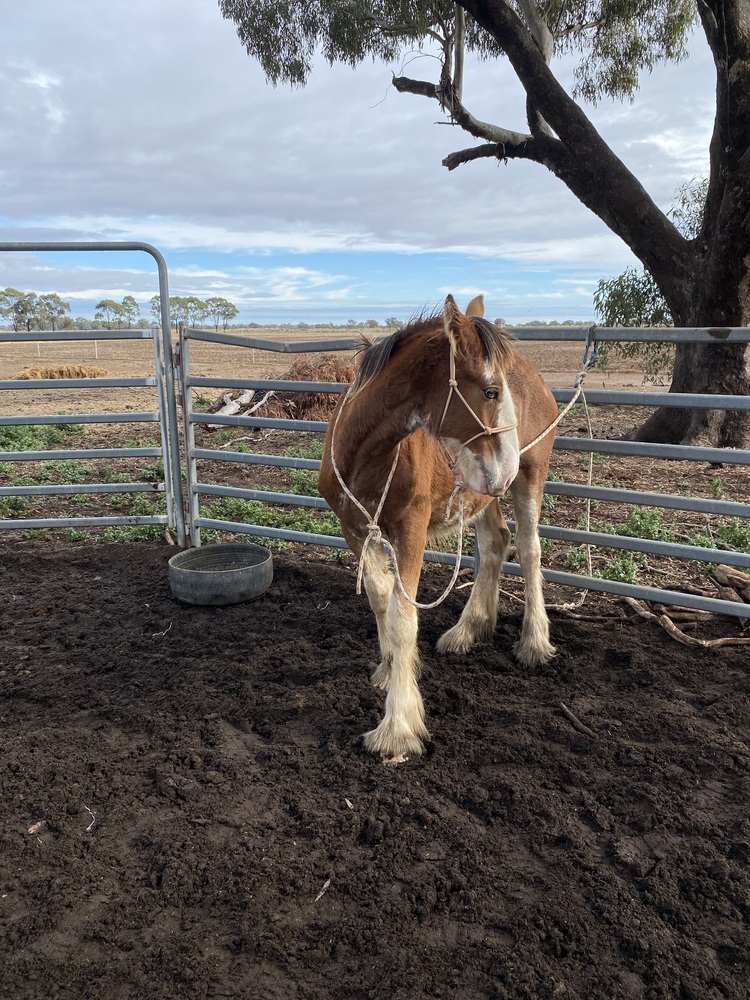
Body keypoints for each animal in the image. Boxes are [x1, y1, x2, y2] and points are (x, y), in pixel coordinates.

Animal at [318, 294, 558, 760]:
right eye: (490, 391)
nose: (506, 468)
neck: (365, 456)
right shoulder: (355, 530)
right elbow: (379, 599)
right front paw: (389, 669)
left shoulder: (409, 532)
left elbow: (402, 617)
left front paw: (397, 728)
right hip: (481, 492)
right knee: (496, 542)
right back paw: (467, 630)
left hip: (527, 477)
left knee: (529, 548)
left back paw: (534, 642)